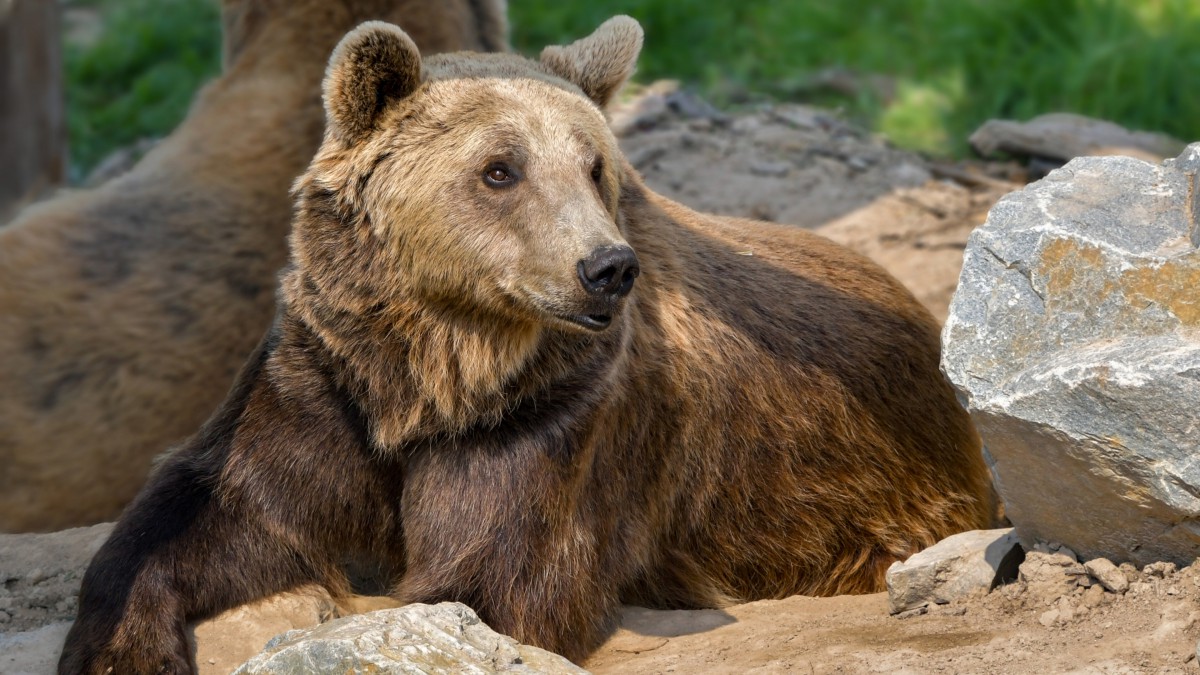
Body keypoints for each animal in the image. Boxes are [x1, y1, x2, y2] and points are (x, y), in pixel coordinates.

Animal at [58, 17, 993, 672]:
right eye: (499, 168)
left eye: (593, 165)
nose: (607, 267)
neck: (432, 371)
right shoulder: (325, 382)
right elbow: (217, 509)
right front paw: (121, 643)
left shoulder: (551, 416)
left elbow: (489, 581)